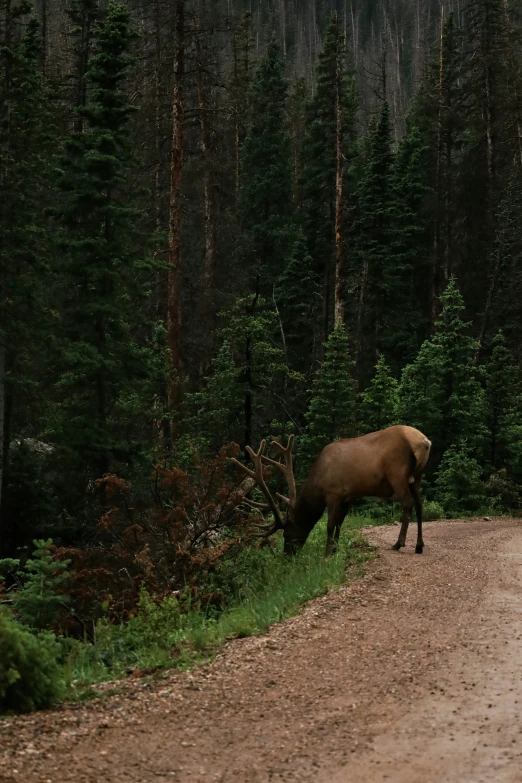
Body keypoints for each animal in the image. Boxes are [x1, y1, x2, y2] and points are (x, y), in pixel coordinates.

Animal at [230, 428, 428, 556]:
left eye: (287, 533)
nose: (287, 556)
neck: (318, 482)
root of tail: (423, 442)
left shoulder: (334, 493)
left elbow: (330, 524)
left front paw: (327, 552)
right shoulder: (348, 496)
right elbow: (340, 523)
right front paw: (335, 549)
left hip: (398, 473)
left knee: (408, 503)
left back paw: (398, 543)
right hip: (416, 477)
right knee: (419, 505)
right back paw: (419, 545)